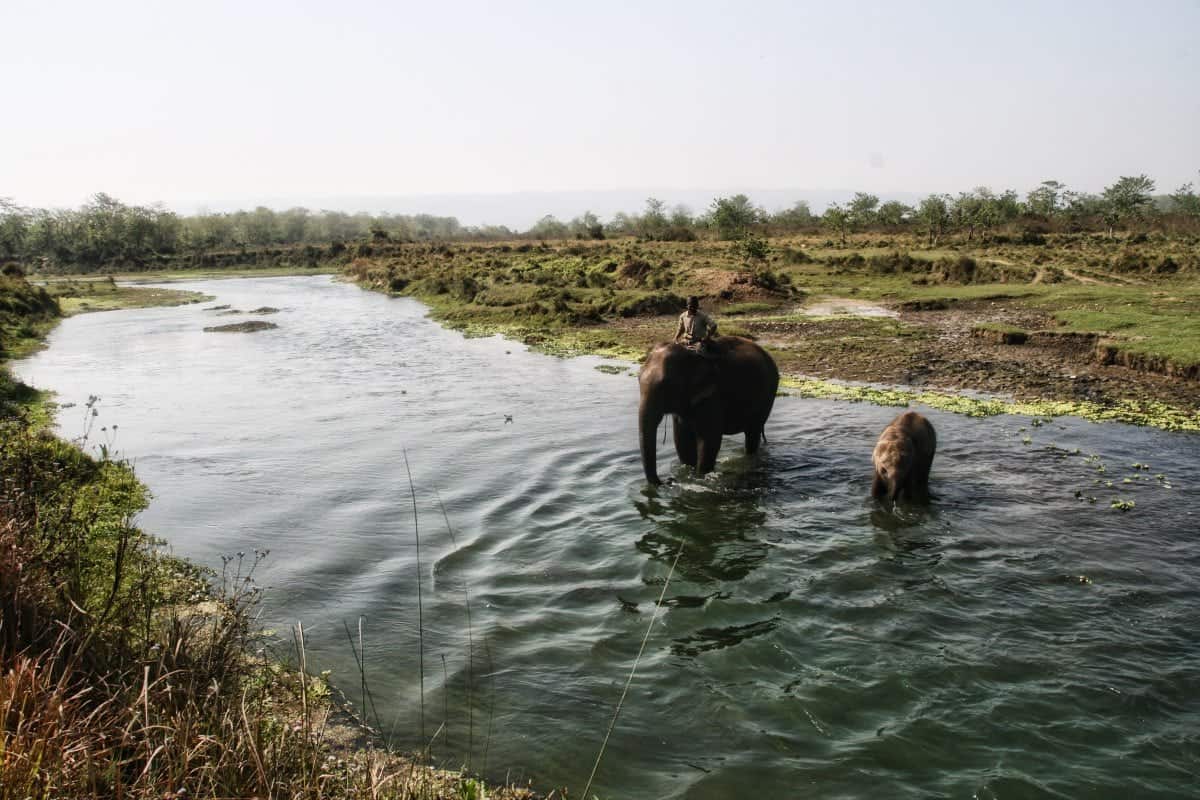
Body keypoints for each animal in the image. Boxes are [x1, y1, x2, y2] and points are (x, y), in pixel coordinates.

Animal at [638, 335, 777, 484]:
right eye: (638, 379)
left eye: (667, 386)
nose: (668, 480)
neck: (690, 354)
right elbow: (682, 440)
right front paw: (687, 474)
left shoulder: (712, 395)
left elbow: (709, 441)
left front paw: (699, 478)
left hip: (767, 395)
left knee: (753, 433)